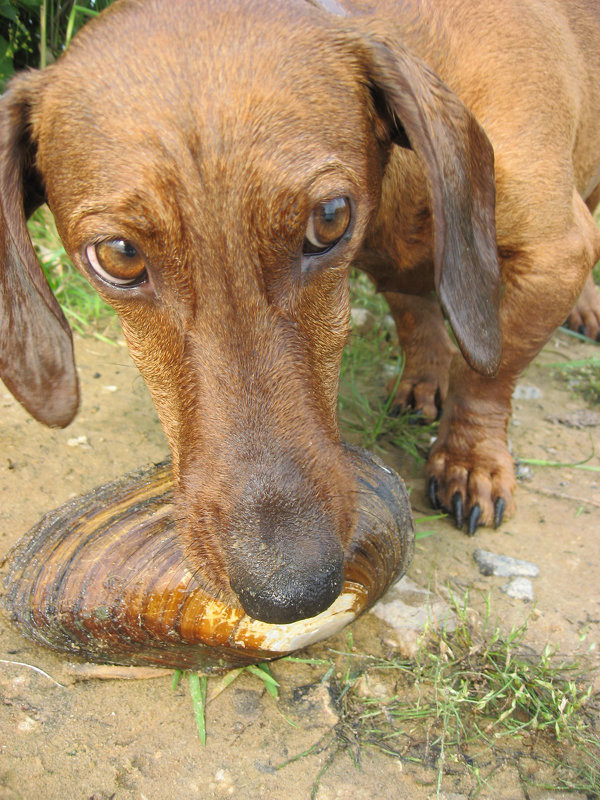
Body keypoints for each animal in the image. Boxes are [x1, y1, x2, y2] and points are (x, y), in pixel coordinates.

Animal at [1, 0, 600, 624]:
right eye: (119, 255)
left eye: (331, 217)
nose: (294, 590)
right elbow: (416, 317)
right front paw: (427, 374)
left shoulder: (558, 256)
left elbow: (489, 374)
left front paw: (469, 459)